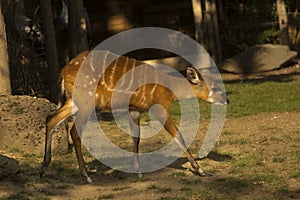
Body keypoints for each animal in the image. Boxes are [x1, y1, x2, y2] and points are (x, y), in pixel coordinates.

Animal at [39, 49, 227, 183]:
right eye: (215, 87)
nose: (227, 100)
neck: (170, 89)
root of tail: (64, 71)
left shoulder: (134, 109)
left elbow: (136, 139)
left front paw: (139, 173)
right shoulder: (158, 108)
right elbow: (178, 135)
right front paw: (200, 170)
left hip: (74, 101)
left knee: (51, 118)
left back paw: (44, 167)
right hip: (86, 102)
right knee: (74, 132)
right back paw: (86, 176)